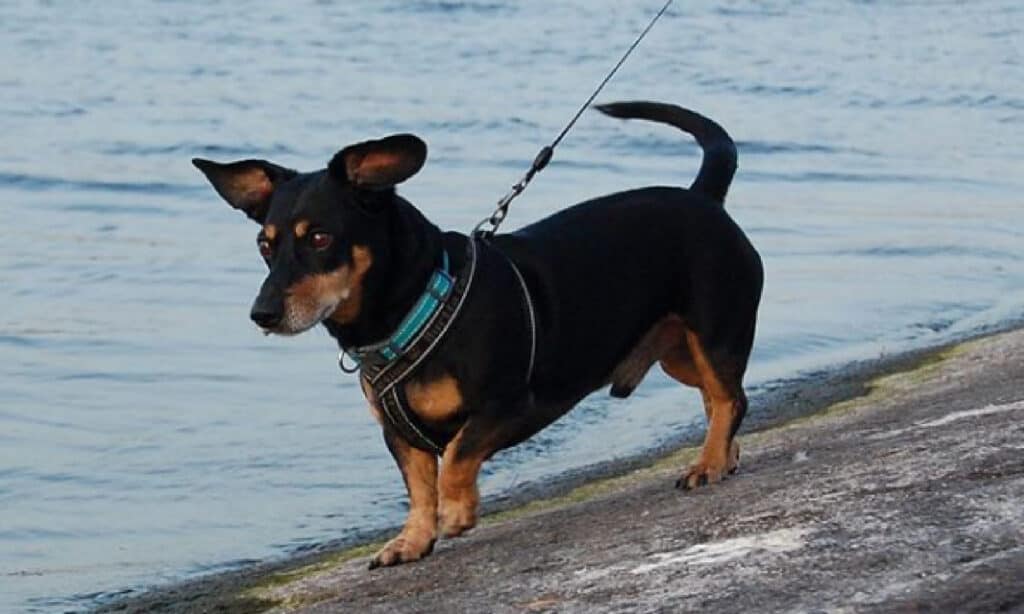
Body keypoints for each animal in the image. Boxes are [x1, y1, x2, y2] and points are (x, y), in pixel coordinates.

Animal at [195, 99, 765, 564]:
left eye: (318, 237)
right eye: (265, 245)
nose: (262, 314)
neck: (418, 306)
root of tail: (704, 198)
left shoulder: (507, 406)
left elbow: (455, 457)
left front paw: (456, 512)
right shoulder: (397, 435)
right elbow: (418, 487)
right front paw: (413, 540)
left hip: (714, 334)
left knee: (730, 399)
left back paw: (709, 463)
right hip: (679, 354)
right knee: (720, 400)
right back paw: (724, 454)